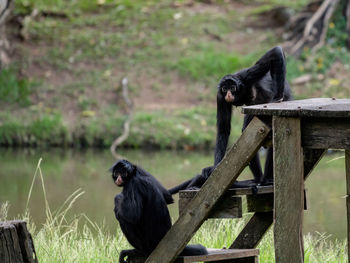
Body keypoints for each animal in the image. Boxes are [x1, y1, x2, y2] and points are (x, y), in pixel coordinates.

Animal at [170, 46, 292, 195]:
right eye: (224, 89)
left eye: (232, 88)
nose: (228, 94)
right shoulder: (220, 96)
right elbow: (223, 128)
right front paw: (214, 169)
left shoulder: (245, 77)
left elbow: (275, 52)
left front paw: (277, 97)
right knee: (248, 131)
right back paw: (259, 179)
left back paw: (265, 179)